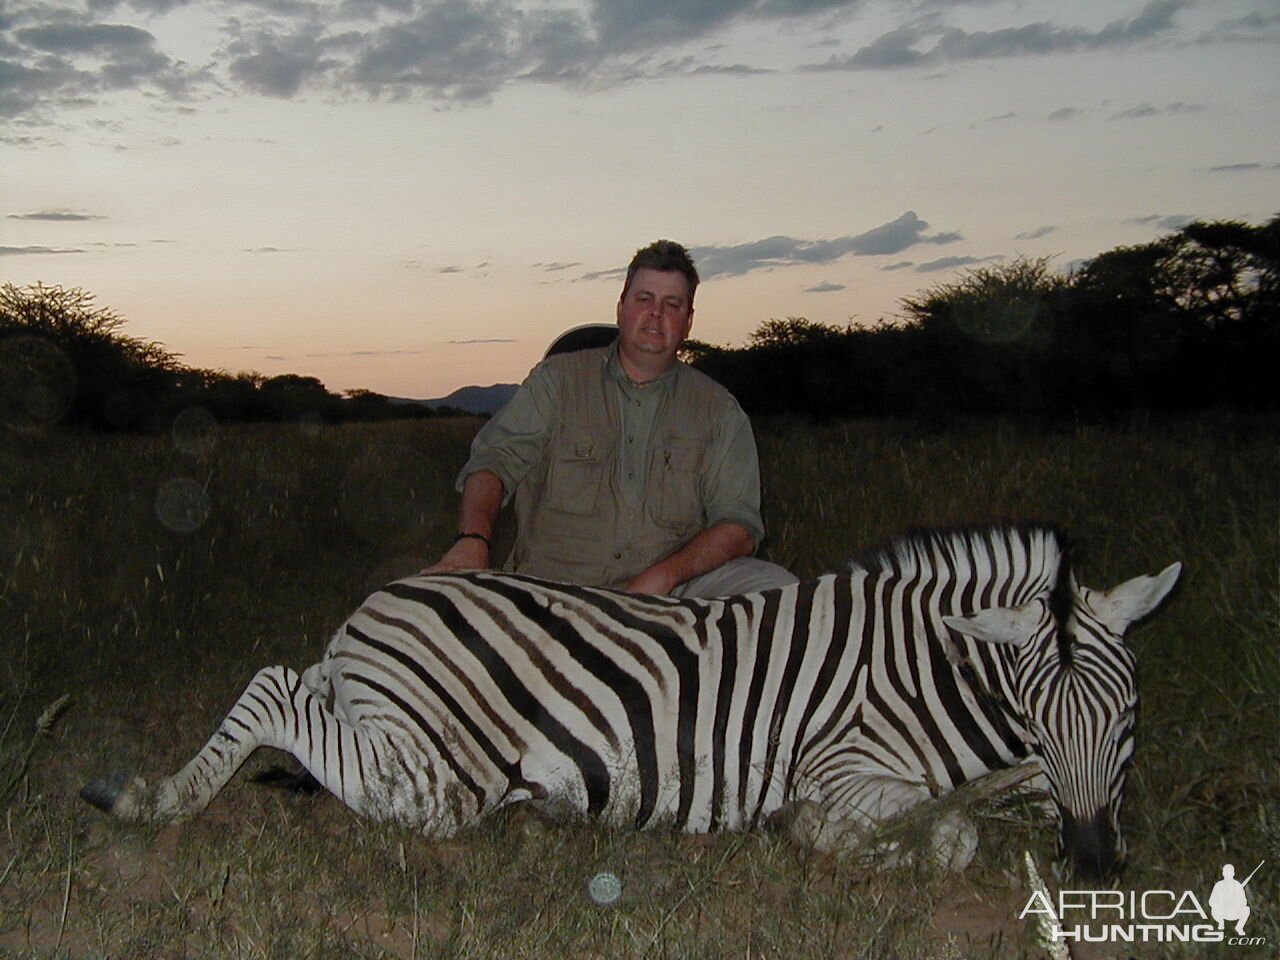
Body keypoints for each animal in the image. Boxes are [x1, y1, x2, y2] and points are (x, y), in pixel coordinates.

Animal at [80, 527, 1177, 880]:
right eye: (1038, 718)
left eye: (1125, 726)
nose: (1093, 868)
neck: (921, 670)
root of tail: (382, 600)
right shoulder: (840, 769)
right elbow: (938, 833)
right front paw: (837, 839)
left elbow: (998, 802)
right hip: (440, 780)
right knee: (274, 689)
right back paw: (150, 799)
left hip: (388, 721)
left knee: (295, 695)